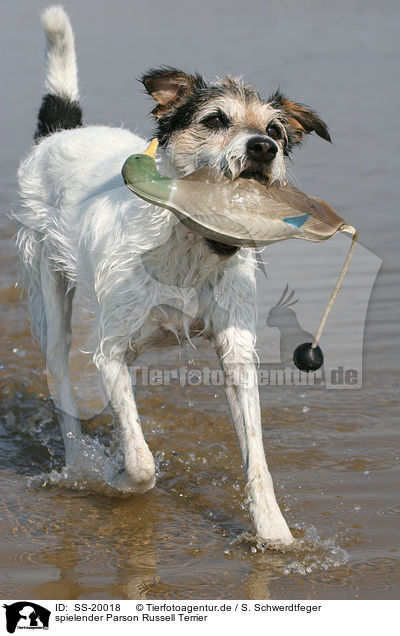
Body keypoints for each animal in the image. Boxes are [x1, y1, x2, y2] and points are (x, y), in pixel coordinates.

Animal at [14, 6, 332, 548]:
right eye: (216, 119)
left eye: (276, 129)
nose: (263, 148)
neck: (192, 244)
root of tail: (57, 136)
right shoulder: (110, 350)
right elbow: (142, 462)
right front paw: (120, 478)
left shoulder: (235, 347)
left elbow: (255, 452)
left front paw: (274, 533)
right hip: (47, 293)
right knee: (61, 382)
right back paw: (79, 465)